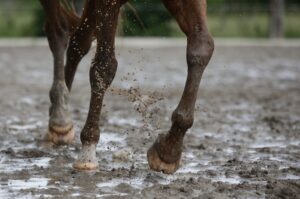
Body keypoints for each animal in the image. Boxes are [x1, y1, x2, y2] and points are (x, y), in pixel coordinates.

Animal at [39, 0, 213, 174]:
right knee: (58, 32)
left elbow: (201, 47)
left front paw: (169, 149)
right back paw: (59, 116)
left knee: (79, 42)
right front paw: (87, 153)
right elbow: (104, 65)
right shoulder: (107, 3)